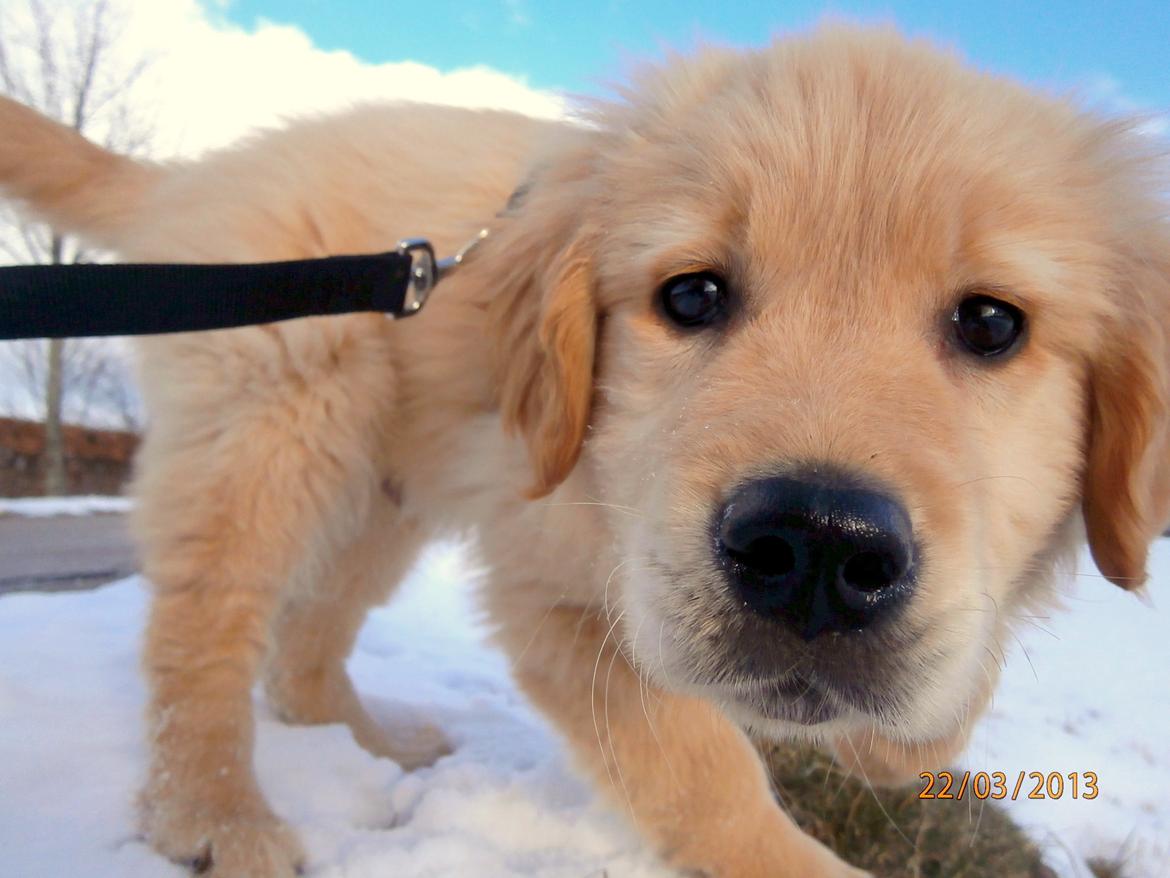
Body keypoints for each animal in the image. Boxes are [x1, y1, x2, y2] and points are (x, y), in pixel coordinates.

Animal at [2, 23, 1170, 878]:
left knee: (309, 634)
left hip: (387, 488)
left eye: (991, 323)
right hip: (270, 431)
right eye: (690, 296)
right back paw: (214, 813)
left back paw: (366, 738)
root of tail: (199, 175)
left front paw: (907, 742)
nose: (818, 552)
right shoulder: (562, 594)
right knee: (205, 628)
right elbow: (703, 766)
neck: (607, 479)